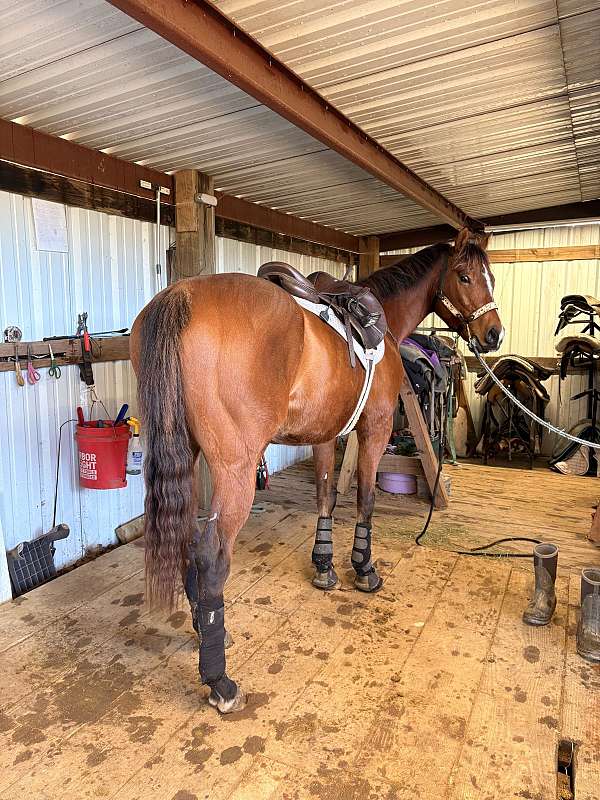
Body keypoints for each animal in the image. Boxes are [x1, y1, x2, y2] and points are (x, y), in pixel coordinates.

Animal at [130, 226, 503, 714]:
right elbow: (364, 498)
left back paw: (206, 629)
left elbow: (326, 494)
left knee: (190, 541)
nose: (494, 334)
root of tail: (181, 296)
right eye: (464, 276)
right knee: (211, 553)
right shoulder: (375, 429)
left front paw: (324, 565)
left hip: (187, 455)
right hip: (235, 468)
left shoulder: (326, 435)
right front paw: (363, 568)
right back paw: (219, 680)